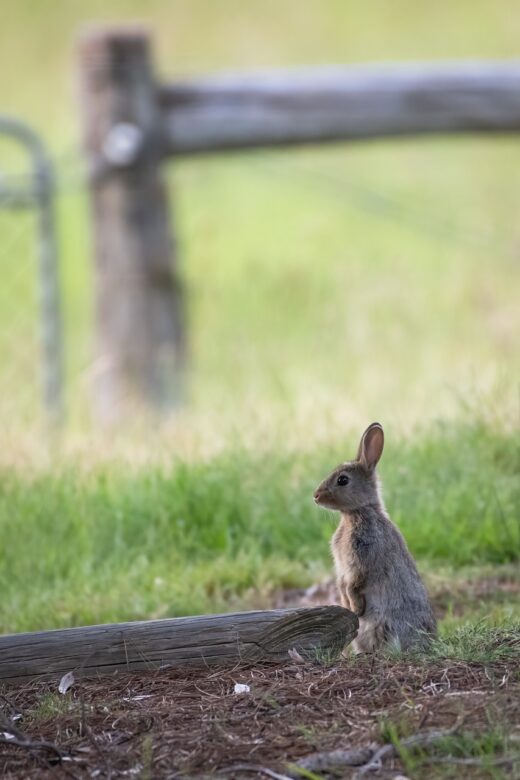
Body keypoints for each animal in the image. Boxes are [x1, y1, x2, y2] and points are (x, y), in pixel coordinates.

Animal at [313, 423, 436, 653]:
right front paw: (347, 605)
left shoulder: (364, 556)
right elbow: (342, 583)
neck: (356, 512)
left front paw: (356, 608)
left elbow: (353, 583)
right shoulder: (342, 567)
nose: (315, 496)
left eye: (342, 480)